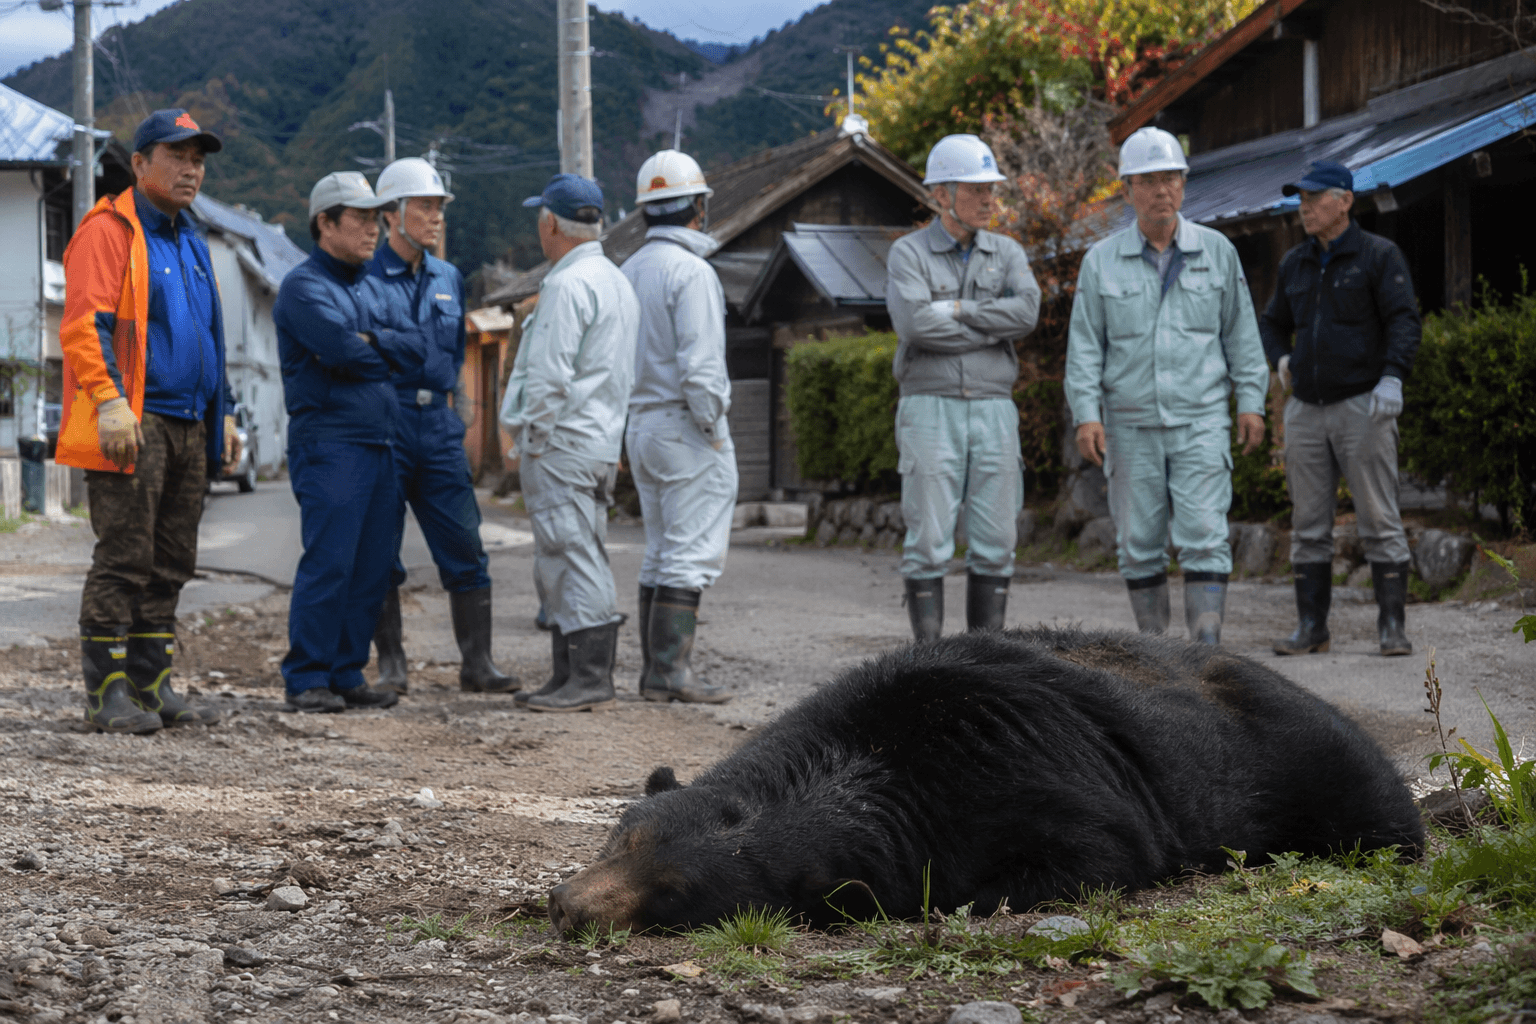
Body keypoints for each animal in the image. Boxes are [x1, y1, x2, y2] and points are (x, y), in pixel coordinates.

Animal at [547, 627, 1423, 934]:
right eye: (623, 837)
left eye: (671, 897)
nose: (567, 907)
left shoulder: (1034, 780)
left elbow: (1099, 853)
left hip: (1323, 762)